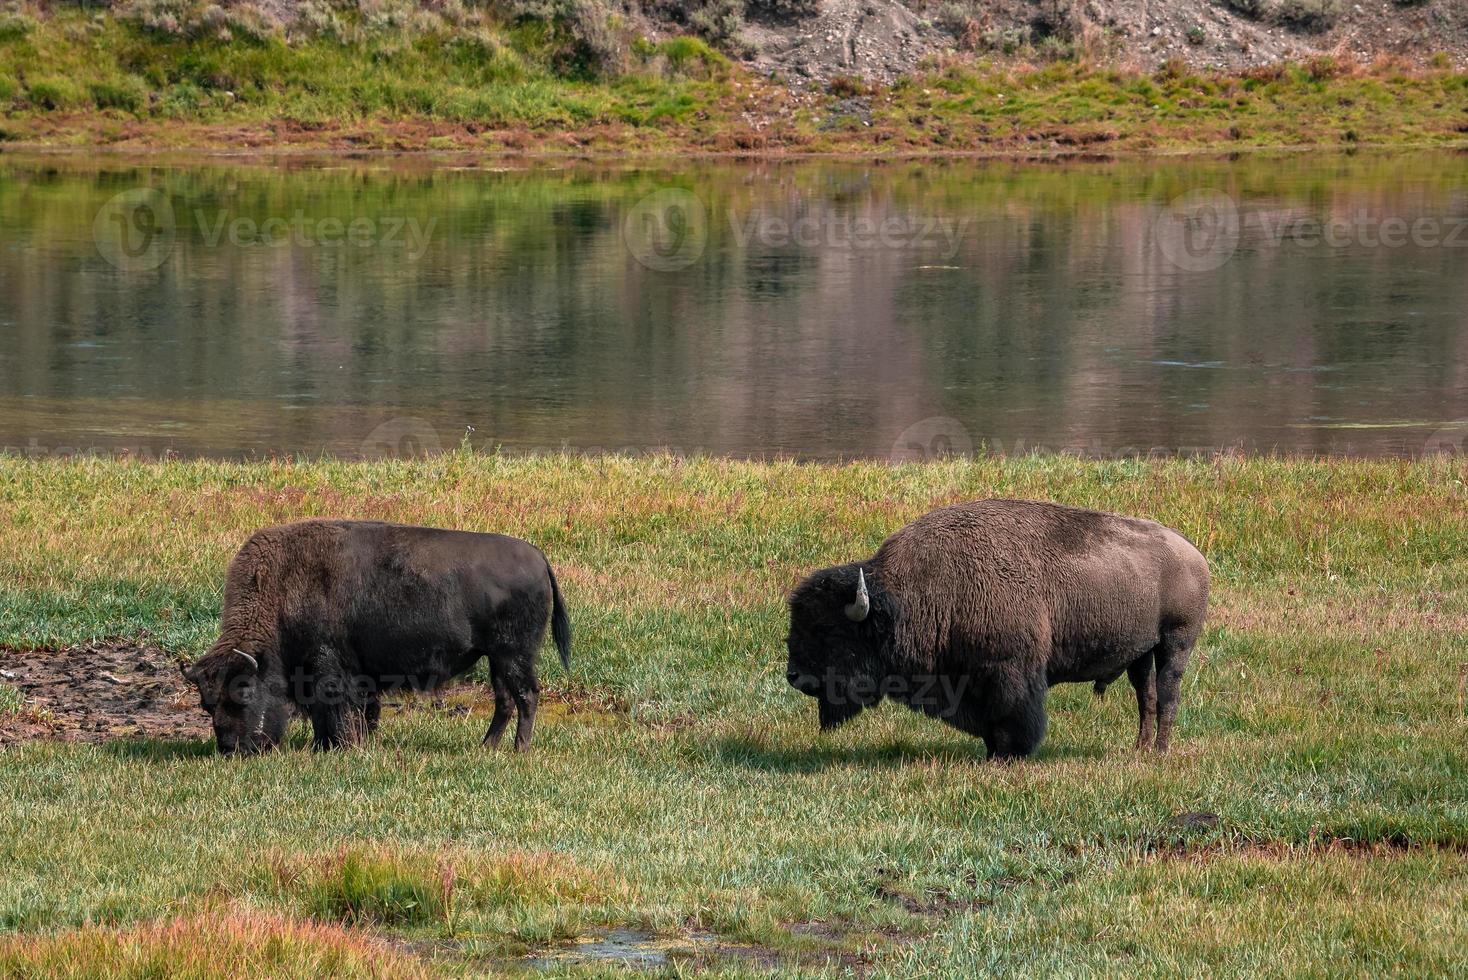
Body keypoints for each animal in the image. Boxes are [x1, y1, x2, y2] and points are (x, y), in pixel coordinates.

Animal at [184, 519, 572, 757]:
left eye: (244, 691)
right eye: (207, 704)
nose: (232, 749)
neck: (280, 591)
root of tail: (539, 558)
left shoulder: (328, 670)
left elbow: (335, 711)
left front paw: (340, 747)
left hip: (514, 654)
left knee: (526, 696)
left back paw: (519, 749)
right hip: (497, 658)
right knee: (504, 700)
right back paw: (487, 747)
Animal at [786, 498, 1209, 757]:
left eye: (829, 632)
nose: (794, 676)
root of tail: (1193, 554)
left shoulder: (1009, 672)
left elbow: (1013, 718)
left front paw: (1006, 756)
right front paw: (991, 752)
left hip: (1175, 642)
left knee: (1168, 694)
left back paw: (1160, 752)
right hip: (1141, 652)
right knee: (1145, 696)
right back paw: (1140, 748)